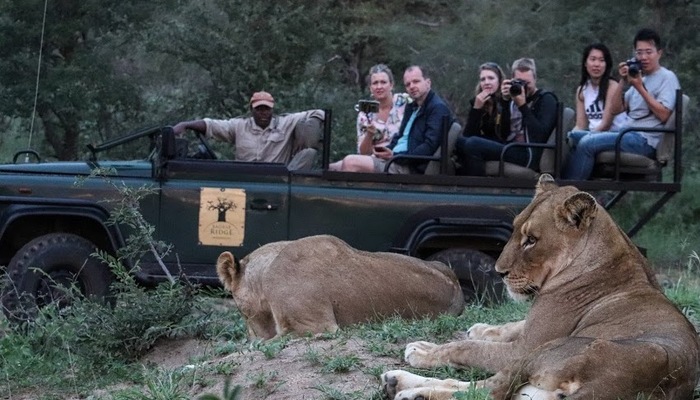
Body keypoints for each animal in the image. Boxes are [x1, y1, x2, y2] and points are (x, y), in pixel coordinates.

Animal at [382, 175, 700, 400]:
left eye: (532, 240)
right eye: (514, 228)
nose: (499, 272)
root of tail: (617, 383)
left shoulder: (524, 348)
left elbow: (466, 348)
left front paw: (425, 350)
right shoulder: (531, 330)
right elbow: (513, 324)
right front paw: (483, 328)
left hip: (539, 354)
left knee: (481, 391)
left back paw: (403, 385)